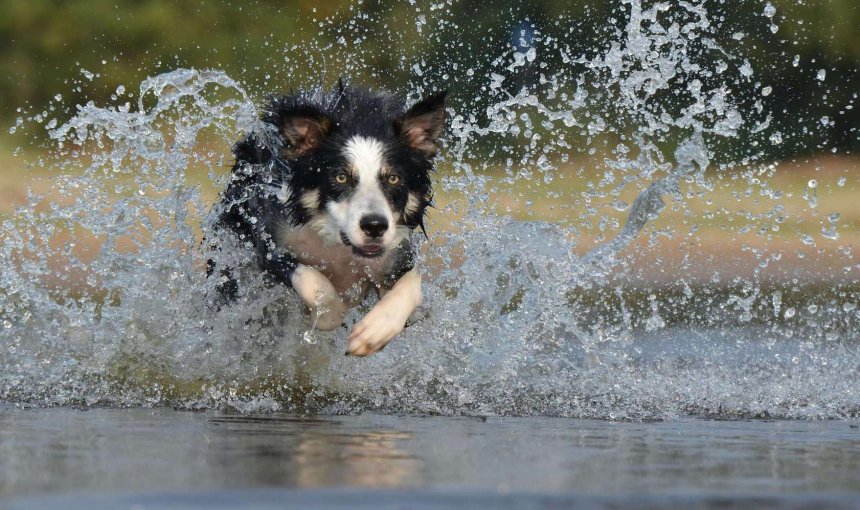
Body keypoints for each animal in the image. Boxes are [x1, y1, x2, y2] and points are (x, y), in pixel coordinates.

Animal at [207, 81, 444, 356]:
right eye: (340, 177)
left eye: (394, 178)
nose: (374, 226)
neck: (338, 246)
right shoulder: (271, 242)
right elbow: (313, 281)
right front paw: (328, 314)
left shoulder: (396, 254)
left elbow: (412, 284)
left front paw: (374, 331)